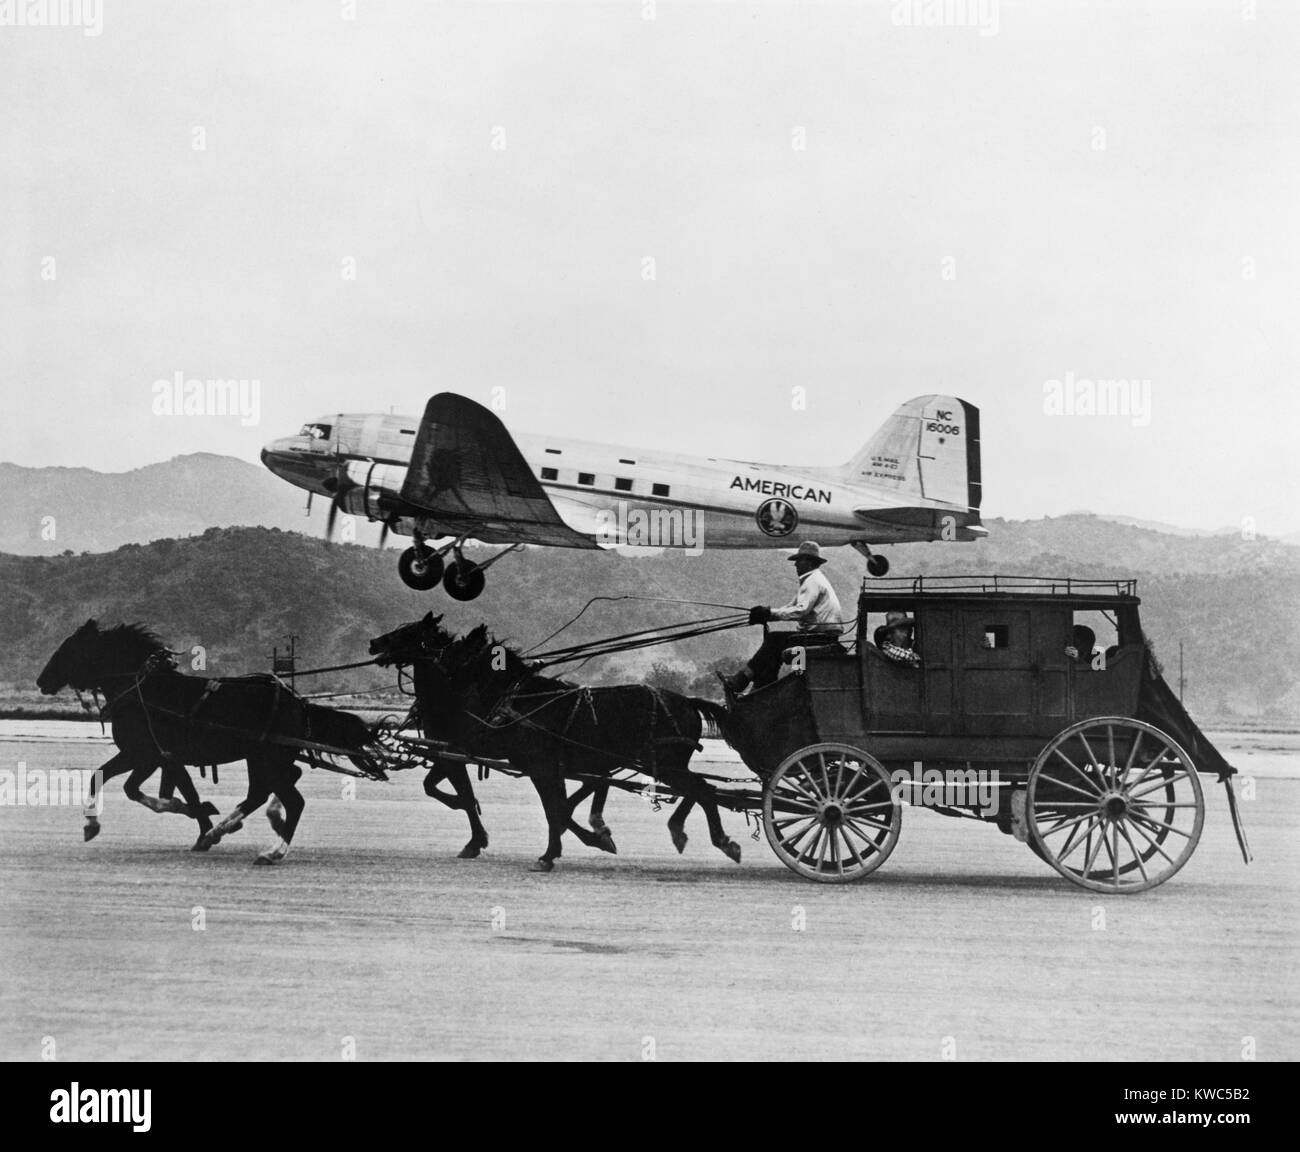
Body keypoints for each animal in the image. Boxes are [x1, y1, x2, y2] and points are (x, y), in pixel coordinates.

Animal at [32, 621, 382, 863]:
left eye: (70, 649)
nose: (41, 681)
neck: (145, 690)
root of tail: (298, 703)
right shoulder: (146, 755)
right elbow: (108, 780)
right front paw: (92, 825)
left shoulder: (155, 756)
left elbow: (176, 791)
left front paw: (200, 820)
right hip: (265, 758)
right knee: (271, 789)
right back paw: (241, 824)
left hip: (265, 757)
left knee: (289, 799)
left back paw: (270, 850)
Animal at [369, 618, 616, 863]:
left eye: (408, 631)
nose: (374, 643)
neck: (450, 701)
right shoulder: (450, 753)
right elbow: (435, 787)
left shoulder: (453, 754)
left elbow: (461, 795)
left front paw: (475, 841)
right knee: (595, 781)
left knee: (592, 782)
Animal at [436, 626, 743, 868]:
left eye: (459, 650)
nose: (440, 673)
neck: (526, 701)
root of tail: (688, 701)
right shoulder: (552, 769)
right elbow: (559, 807)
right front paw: (576, 843)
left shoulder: (542, 767)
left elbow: (555, 809)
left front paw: (549, 855)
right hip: (669, 764)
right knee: (701, 789)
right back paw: (682, 830)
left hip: (668, 764)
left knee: (703, 790)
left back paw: (718, 840)